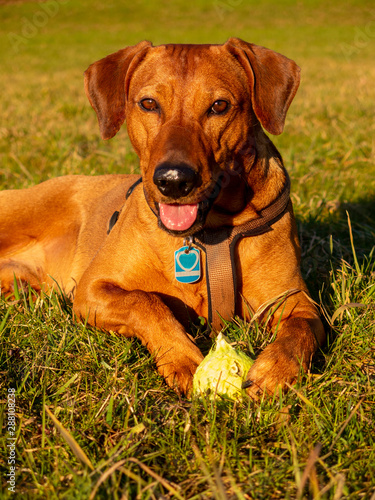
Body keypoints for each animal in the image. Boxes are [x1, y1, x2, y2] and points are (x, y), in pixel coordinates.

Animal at [0, 39, 326, 396]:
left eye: (219, 106)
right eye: (149, 103)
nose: (173, 180)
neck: (209, 234)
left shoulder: (294, 300)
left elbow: (302, 329)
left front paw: (275, 368)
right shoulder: (92, 289)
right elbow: (145, 302)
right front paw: (183, 358)